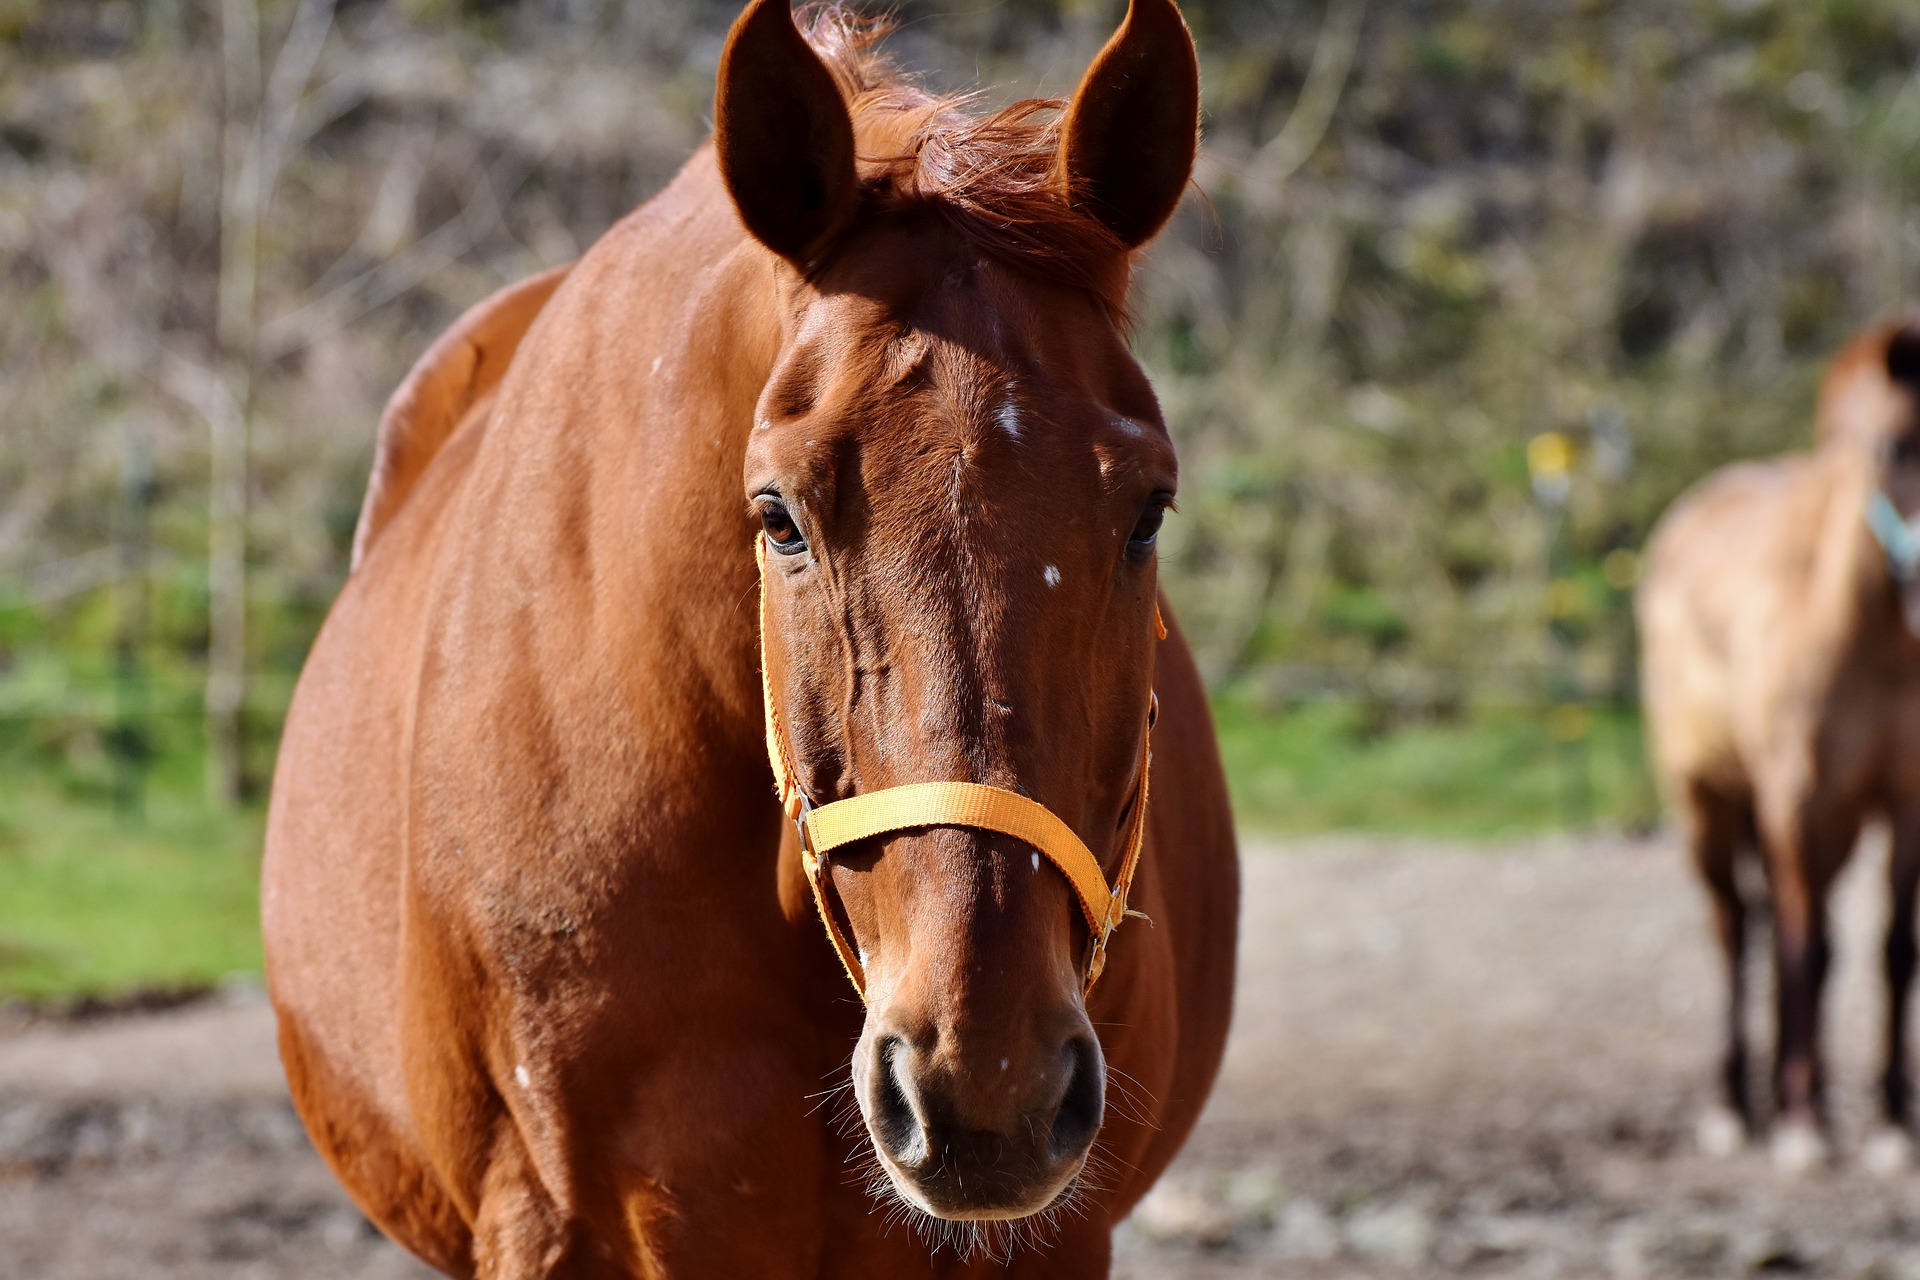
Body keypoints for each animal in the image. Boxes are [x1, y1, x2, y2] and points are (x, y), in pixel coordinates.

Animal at [1635, 318, 1920, 1174]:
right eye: (1895, 445)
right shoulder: (1800, 799)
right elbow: (1810, 951)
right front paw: (1804, 1125)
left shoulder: (1908, 800)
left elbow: (1894, 951)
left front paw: (1892, 1126)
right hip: (1707, 803)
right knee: (1738, 929)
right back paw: (1736, 1107)